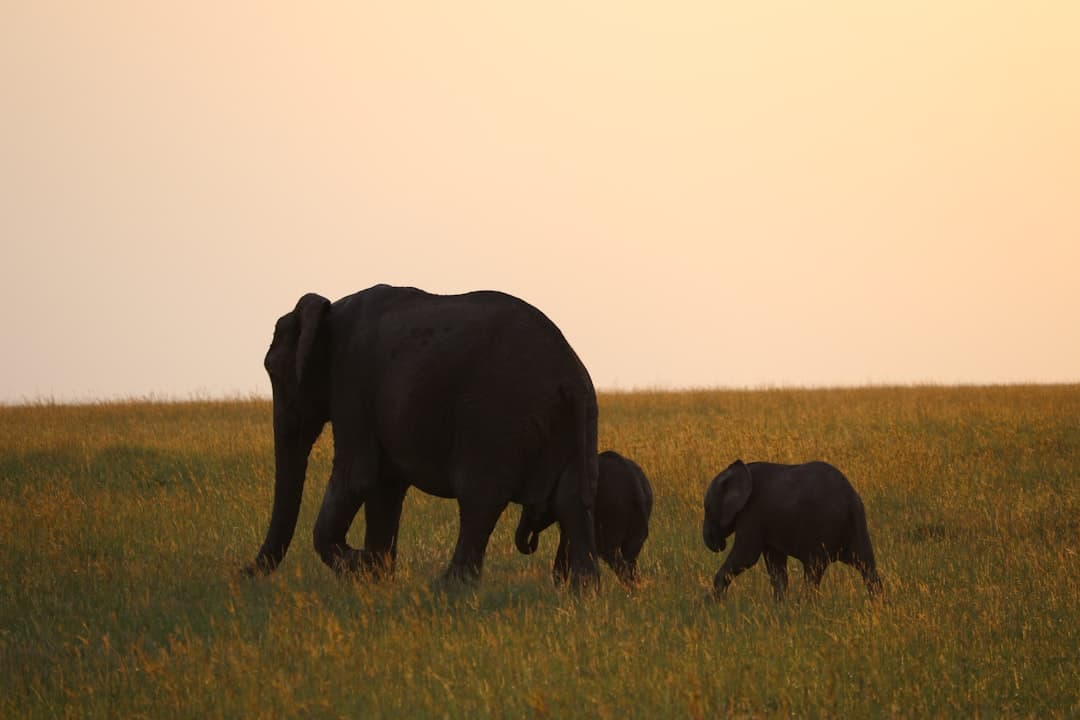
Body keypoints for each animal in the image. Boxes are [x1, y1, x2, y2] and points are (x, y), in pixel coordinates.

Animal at [244, 284, 601, 589]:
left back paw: (449, 587)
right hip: (579, 421)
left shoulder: (352, 381)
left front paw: (362, 566)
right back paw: (581, 593)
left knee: (480, 498)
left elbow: (356, 477)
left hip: (495, 421)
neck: (330, 311)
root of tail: (569, 378)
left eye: (274, 372)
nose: (241, 573)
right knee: (570, 498)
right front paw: (377, 575)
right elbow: (384, 487)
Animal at [515, 450, 653, 586]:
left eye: (533, 508)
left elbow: (567, 544)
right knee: (630, 555)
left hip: (613, 514)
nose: (534, 535)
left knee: (611, 553)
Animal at [702, 459, 882, 601]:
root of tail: (850, 498)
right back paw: (877, 604)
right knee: (867, 565)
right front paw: (780, 607)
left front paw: (713, 604)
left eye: (707, 509)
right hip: (857, 525)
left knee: (813, 570)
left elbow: (746, 557)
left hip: (822, 527)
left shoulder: (751, 513)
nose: (718, 544)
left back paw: (808, 606)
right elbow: (775, 565)